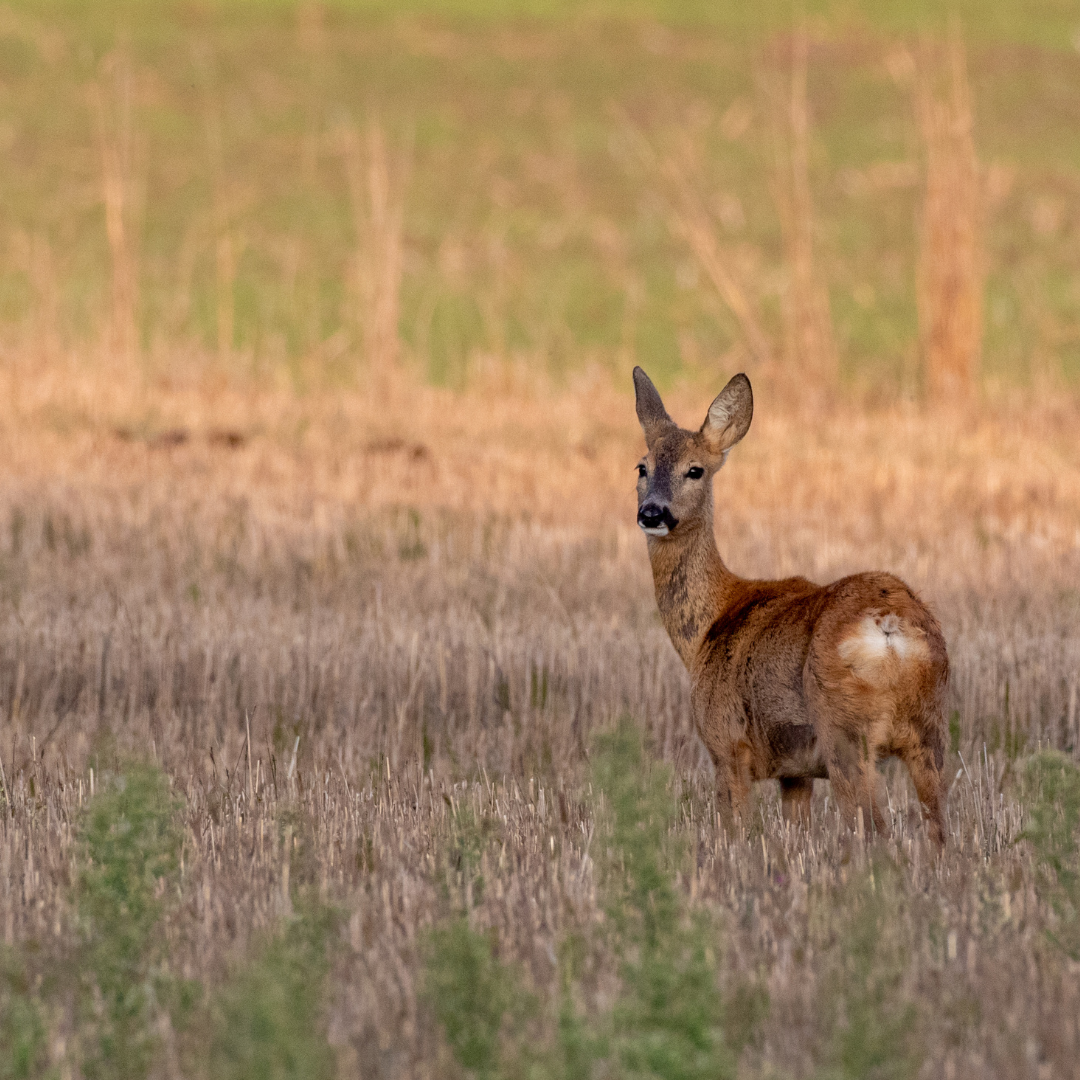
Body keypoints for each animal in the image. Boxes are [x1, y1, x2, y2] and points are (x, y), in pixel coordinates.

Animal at [635, 367, 950, 846]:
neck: (707, 628)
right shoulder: (795, 773)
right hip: (930, 730)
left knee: (874, 830)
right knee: (942, 833)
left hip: (844, 732)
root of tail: (890, 628)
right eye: (642, 467)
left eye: (695, 470)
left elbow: (736, 836)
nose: (652, 513)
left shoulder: (727, 745)